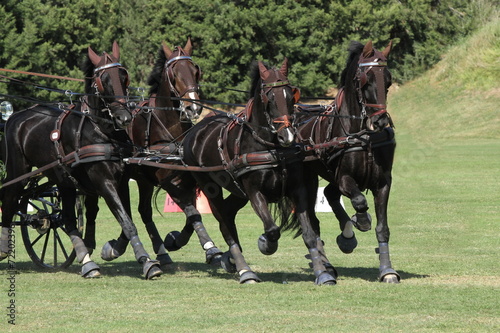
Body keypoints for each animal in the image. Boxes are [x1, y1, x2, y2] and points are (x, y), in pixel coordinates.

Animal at [0, 42, 160, 280]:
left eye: (124, 76)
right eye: (103, 79)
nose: (124, 118)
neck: (100, 129)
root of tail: (14, 117)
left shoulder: (121, 181)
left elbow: (127, 221)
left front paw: (122, 252)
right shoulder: (104, 181)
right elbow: (127, 222)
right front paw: (147, 262)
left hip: (63, 180)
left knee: (65, 218)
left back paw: (87, 262)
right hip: (18, 171)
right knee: (10, 200)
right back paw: (3, 248)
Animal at [83, 37, 223, 266]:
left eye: (195, 70)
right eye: (175, 73)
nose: (193, 108)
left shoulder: (186, 180)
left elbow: (192, 215)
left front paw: (175, 241)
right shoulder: (168, 181)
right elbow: (192, 213)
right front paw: (210, 248)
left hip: (142, 179)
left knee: (143, 211)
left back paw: (158, 251)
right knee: (108, 210)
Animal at [180, 58, 336, 284]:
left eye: (291, 95)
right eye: (268, 98)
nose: (287, 135)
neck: (271, 148)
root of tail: (195, 130)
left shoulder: (297, 189)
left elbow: (308, 233)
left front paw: (322, 272)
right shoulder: (255, 192)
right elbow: (271, 230)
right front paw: (266, 244)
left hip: (238, 192)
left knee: (228, 214)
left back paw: (231, 260)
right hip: (210, 187)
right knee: (225, 225)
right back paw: (245, 270)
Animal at [294, 40, 400, 282]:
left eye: (388, 80)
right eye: (366, 79)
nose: (380, 121)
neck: (363, 135)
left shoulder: (383, 182)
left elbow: (382, 228)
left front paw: (387, 270)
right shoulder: (344, 177)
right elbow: (359, 201)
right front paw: (361, 220)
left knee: (329, 194)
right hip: (308, 180)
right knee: (315, 217)